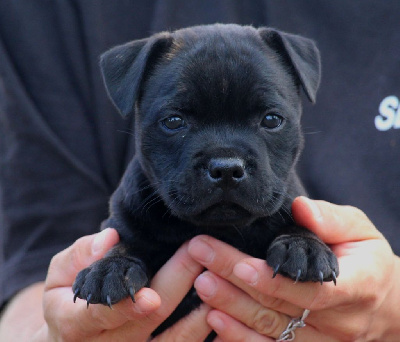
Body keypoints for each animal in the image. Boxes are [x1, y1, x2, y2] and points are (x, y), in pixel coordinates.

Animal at [73, 23, 340, 334]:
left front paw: (304, 246)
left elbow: (298, 220)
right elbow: (124, 240)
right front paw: (111, 268)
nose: (226, 168)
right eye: (174, 122)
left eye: (272, 120)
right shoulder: (124, 219)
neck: (219, 228)